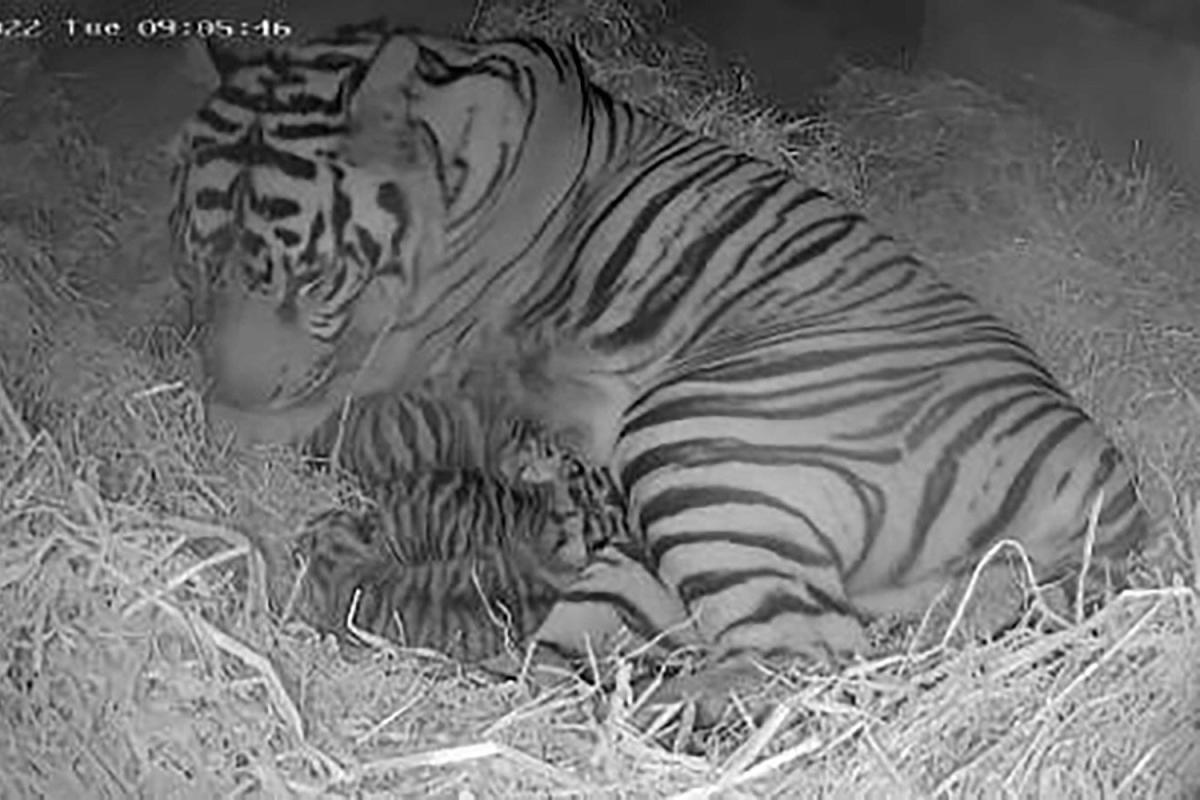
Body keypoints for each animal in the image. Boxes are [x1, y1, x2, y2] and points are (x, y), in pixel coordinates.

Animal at [171, 21, 1152, 690]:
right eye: (201, 258)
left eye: (310, 280)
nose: (234, 377)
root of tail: (1108, 480)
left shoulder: (383, 356)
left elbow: (263, 413)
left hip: (700, 436)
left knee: (809, 659)